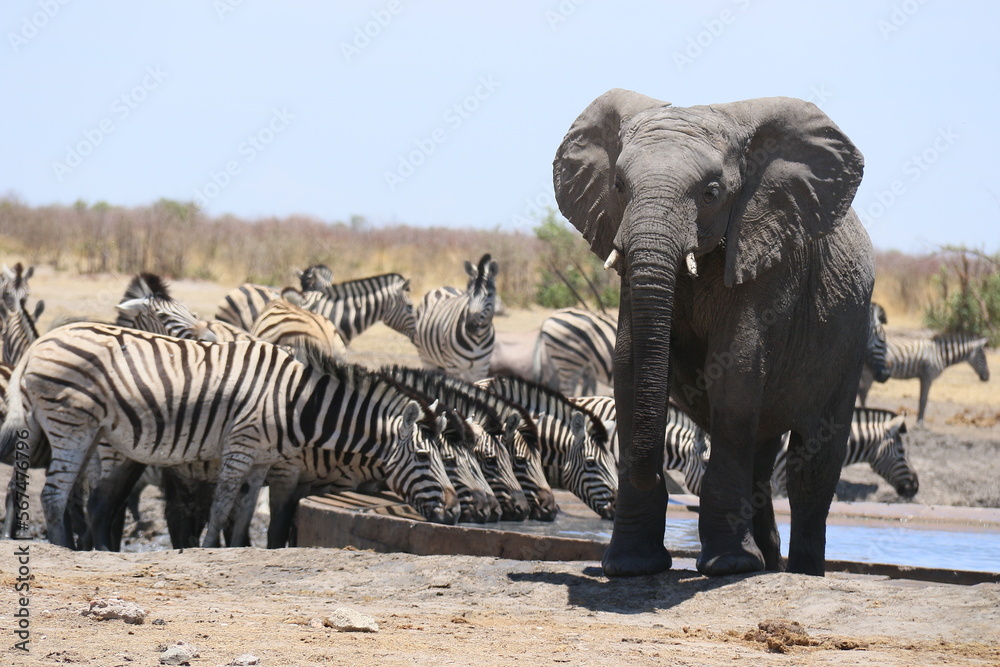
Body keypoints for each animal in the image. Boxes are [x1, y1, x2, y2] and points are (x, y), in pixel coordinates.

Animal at [553, 89, 874, 577]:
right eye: (618, 186)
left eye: (711, 193)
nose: (657, 475)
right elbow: (628, 365)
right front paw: (630, 567)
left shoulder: (767, 252)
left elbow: (736, 368)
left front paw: (726, 567)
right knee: (761, 456)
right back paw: (766, 563)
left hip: (850, 341)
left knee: (812, 464)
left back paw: (797, 571)